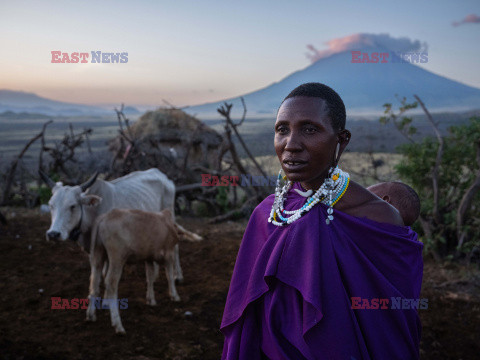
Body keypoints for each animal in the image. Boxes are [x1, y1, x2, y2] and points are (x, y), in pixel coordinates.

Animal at [39, 168, 199, 304]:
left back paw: (178, 276)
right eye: (51, 205)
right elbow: (97, 273)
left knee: (176, 247)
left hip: (170, 217)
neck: (94, 212)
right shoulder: (94, 250)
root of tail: (162, 175)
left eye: (72, 206)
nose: (53, 234)